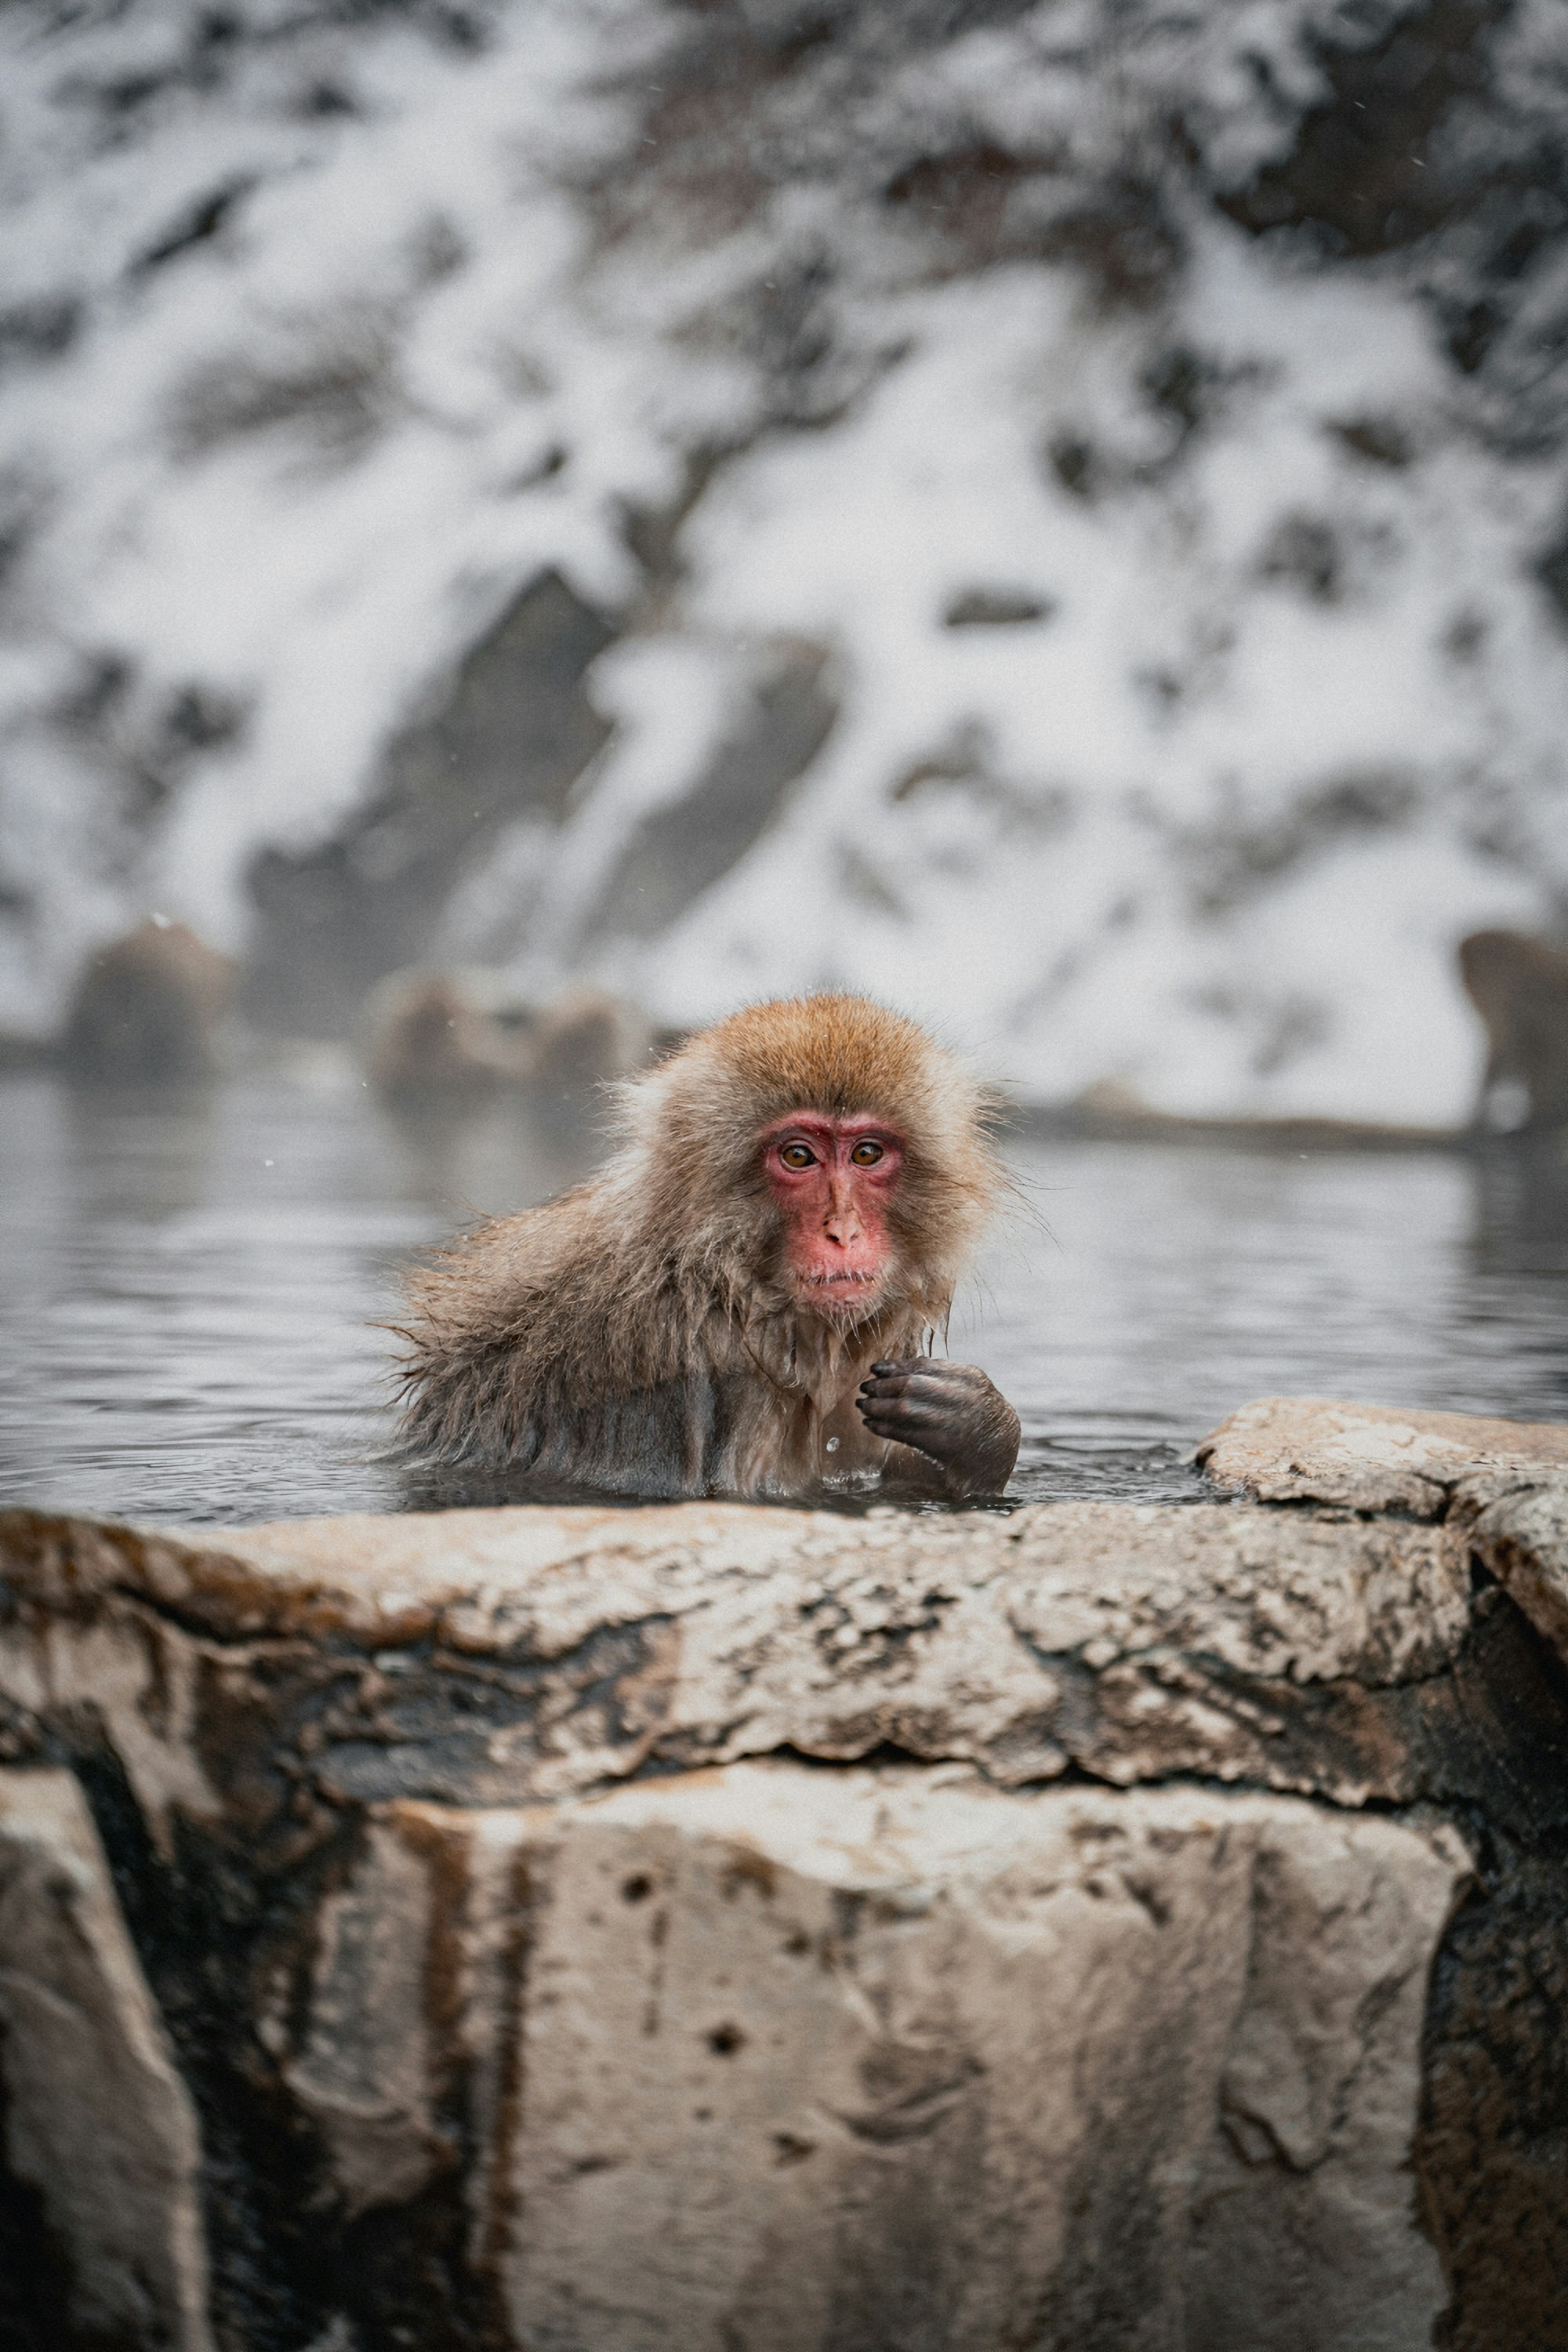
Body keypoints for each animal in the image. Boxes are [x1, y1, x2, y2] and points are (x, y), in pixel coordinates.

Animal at [396, 994, 1021, 1500]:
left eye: (866, 1153)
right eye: (798, 1155)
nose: (843, 1231)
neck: (723, 1281)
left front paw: (979, 1425)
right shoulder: (673, 1365)